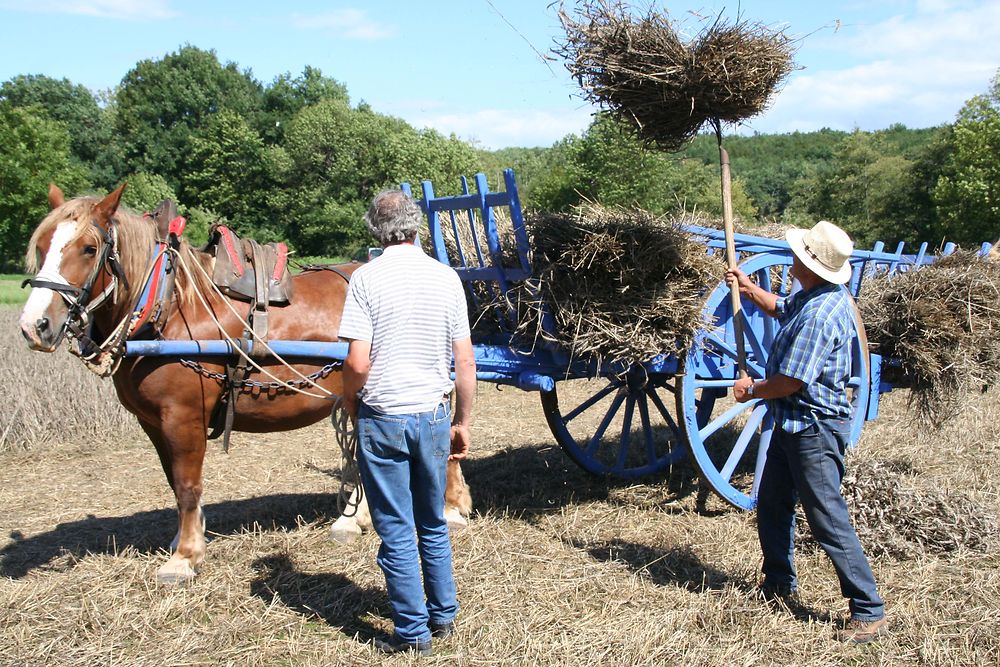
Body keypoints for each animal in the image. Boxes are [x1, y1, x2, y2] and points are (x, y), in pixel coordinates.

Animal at [18, 184, 472, 584]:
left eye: (89, 248)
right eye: (41, 246)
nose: (34, 325)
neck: (170, 307)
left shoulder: (182, 416)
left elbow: (187, 485)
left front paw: (184, 558)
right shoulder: (153, 423)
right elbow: (174, 483)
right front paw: (185, 541)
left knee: (445, 439)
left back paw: (450, 506)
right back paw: (352, 518)